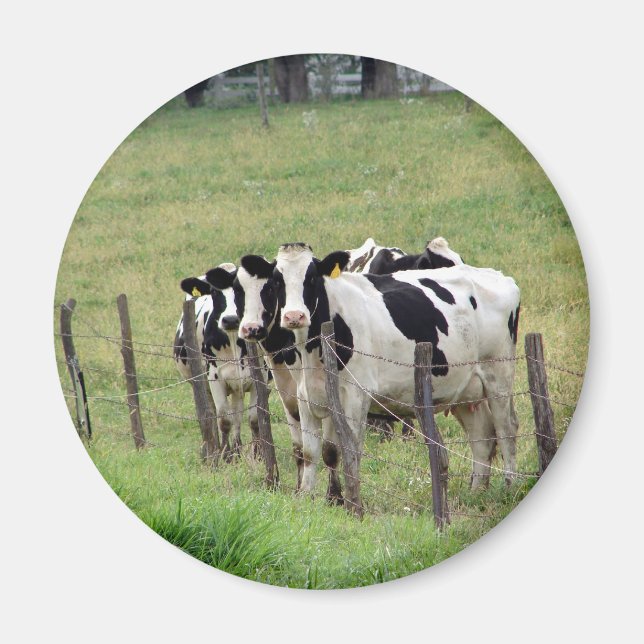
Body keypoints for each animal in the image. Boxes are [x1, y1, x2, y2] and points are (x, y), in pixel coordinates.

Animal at [174, 263, 260, 461]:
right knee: (210, 414)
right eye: (213, 292)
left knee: (237, 413)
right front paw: (226, 455)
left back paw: (237, 449)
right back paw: (212, 450)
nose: (230, 319)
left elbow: (253, 419)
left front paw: (258, 454)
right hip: (201, 383)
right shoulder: (214, 377)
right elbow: (224, 420)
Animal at [236, 243, 520, 511]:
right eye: (276, 281)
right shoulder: (306, 397)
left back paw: (510, 487)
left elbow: (350, 450)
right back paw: (476, 492)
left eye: (313, 277)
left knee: (506, 430)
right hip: (465, 389)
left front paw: (351, 505)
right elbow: (309, 452)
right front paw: (305, 497)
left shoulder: (355, 396)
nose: (294, 316)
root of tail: (499, 275)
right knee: (482, 436)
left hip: (498, 377)